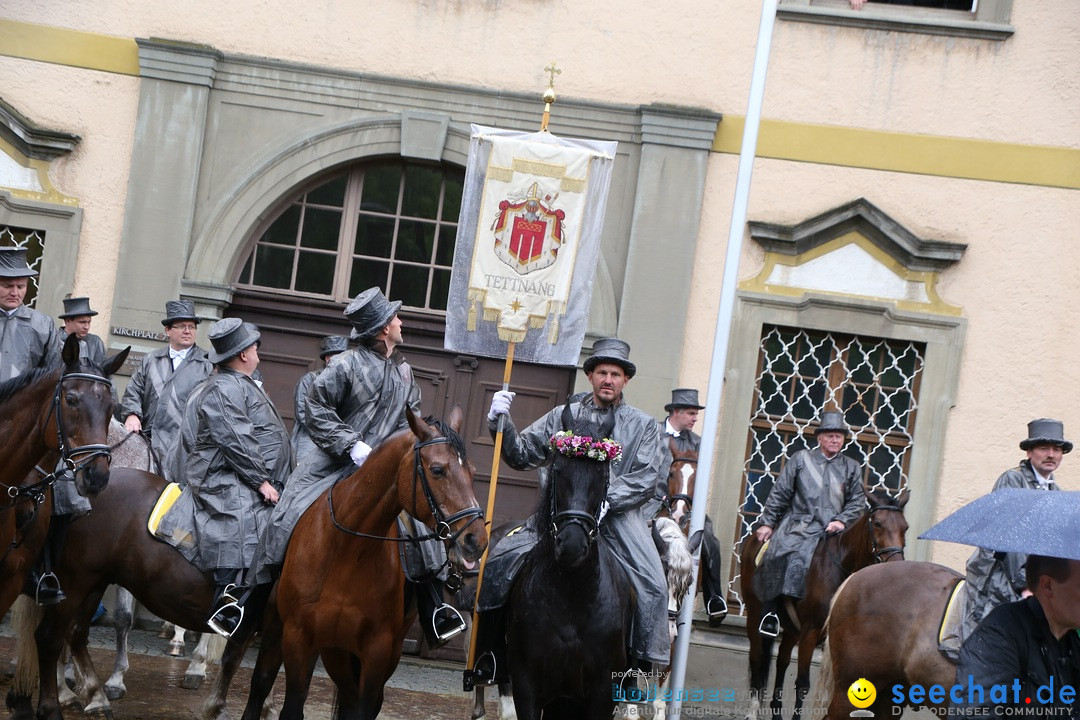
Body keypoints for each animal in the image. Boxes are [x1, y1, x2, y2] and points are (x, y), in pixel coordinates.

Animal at [239, 405, 486, 720]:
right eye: (437, 470)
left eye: (473, 472)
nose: (476, 539)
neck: (348, 551)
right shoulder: (299, 636)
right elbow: (292, 705)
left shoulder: (378, 649)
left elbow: (363, 706)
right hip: (284, 628)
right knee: (261, 682)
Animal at [505, 403, 630, 716]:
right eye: (559, 471)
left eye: (602, 476)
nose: (572, 545)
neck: (572, 594)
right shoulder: (525, 682)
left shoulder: (603, 691)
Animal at [738, 487, 907, 716]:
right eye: (878, 523)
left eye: (905, 527)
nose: (896, 563)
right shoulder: (811, 631)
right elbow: (802, 684)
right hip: (755, 616)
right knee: (757, 659)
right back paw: (753, 711)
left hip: (792, 630)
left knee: (782, 660)